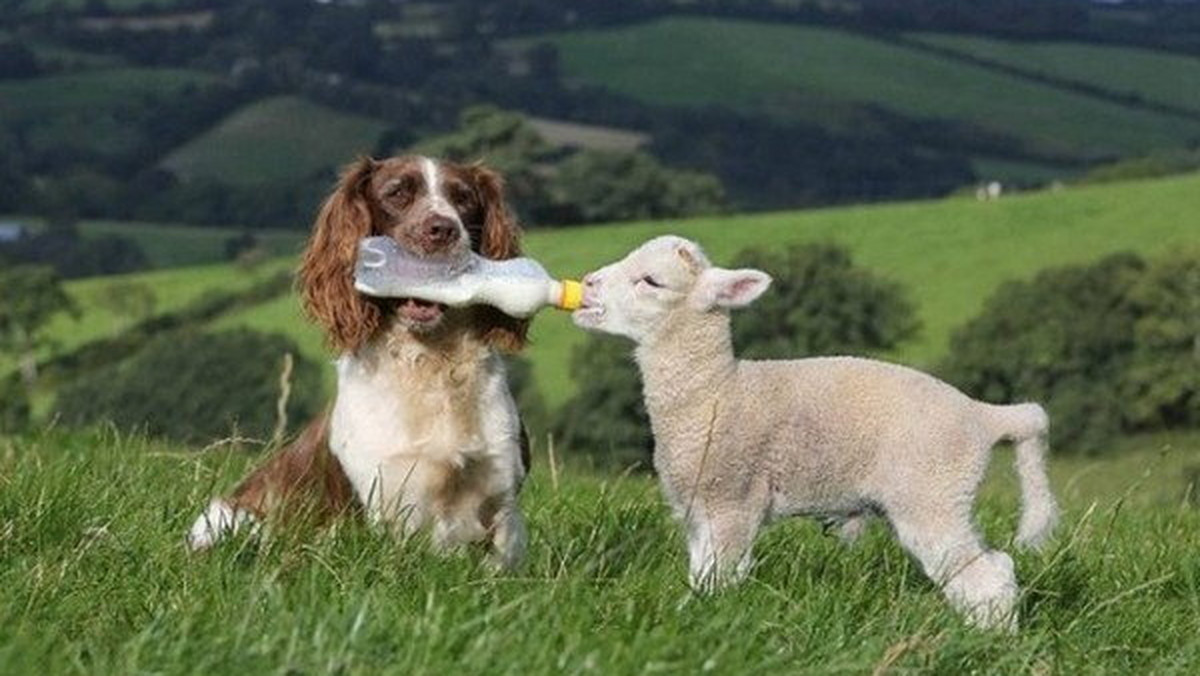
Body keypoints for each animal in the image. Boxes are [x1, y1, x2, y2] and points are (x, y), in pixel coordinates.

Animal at [186, 156, 530, 569]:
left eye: (463, 199)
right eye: (396, 193)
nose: (442, 230)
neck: (429, 361)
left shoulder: (502, 496)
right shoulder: (385, 504)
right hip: (231, 518)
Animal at [571, 236, 1060, 629]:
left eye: (651, 282)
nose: (588, 284)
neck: (716, 391)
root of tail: (985, 416)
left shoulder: (732, 500)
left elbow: (720, 577)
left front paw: (706, 620)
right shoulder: (698, 508)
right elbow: (701, 573)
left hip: (932, 493)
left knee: (987, 575)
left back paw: (992, 642)